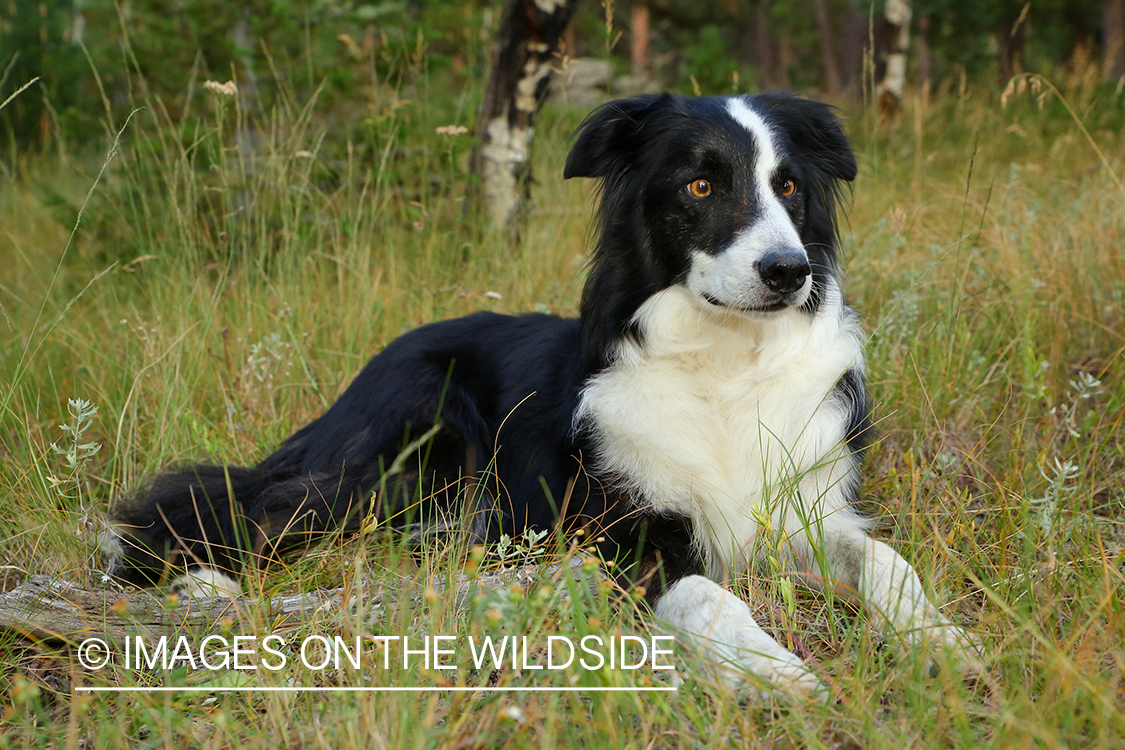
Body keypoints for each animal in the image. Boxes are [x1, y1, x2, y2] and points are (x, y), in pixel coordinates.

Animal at [109, 92, 981, 692]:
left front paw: (942, 639)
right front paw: (772, 670)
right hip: (391, 455)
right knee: (224, 508)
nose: (787, 271)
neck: (724, 364)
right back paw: (194, 582)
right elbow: (706, 593)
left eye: (790, 187)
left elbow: (887, 562)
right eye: (700, 186)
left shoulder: (808, 509)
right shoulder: (616, 535)